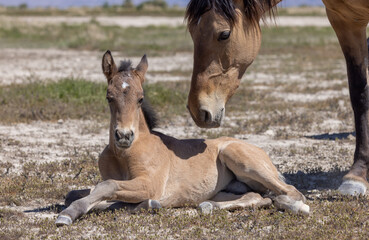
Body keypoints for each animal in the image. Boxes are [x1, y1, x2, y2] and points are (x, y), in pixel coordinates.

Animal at [54, 51, 308, 226]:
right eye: (109, 97)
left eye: (140, 98)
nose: (124, 136)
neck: (124, 154)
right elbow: (79, 192)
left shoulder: (150, 184)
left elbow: (107, 187)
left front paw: (68, 215)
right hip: (231, 187)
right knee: (258, 196)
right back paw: (208, 206)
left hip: (238, 157)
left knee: (290, 191)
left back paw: (297, 206)